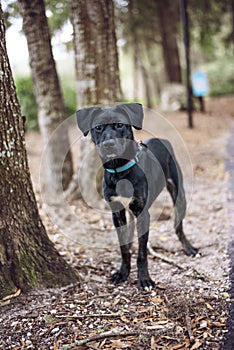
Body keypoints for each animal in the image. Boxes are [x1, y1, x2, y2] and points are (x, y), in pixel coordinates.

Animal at [77, 104, 197, 290]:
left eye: (120, 125)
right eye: (98, 128)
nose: (109, 145)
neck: (119, 171)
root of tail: (161, 139)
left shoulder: (142, 213)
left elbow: (142, 253)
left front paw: (145, 280)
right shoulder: (117, 213)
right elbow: (124, 247)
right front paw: (122, 273)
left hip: (179, 194)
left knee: (178, 226)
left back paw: (189, 248)